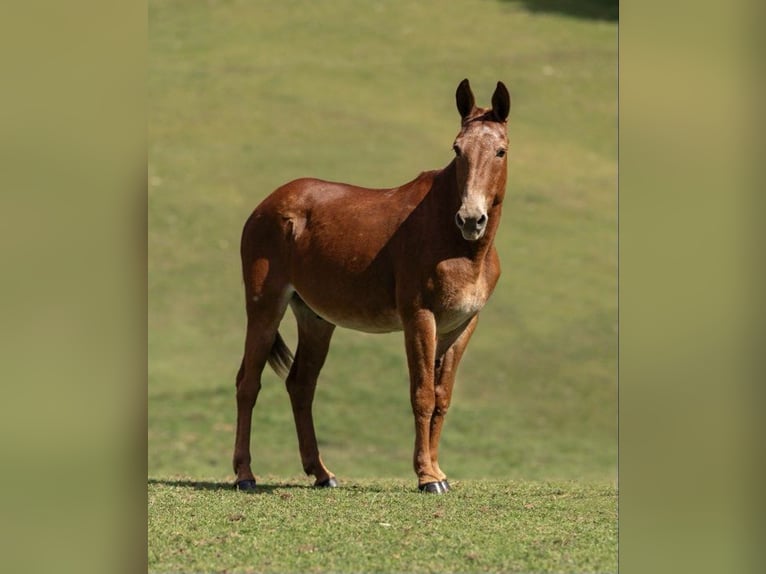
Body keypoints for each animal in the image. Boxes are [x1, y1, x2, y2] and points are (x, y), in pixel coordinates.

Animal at [233, 78, 511, 493]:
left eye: (500, 151)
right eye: (457, 149)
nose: (470, 219)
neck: (457, 244)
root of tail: (266, 206)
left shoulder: (463, 325)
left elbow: (442, 397)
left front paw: (439, 472)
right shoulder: (419, 318)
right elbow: (422, 395)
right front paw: (426, 477)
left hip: (315, 319)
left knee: (301, 385)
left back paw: (322, 473)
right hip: (265, 306)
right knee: (248, 383)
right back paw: (245, 475)